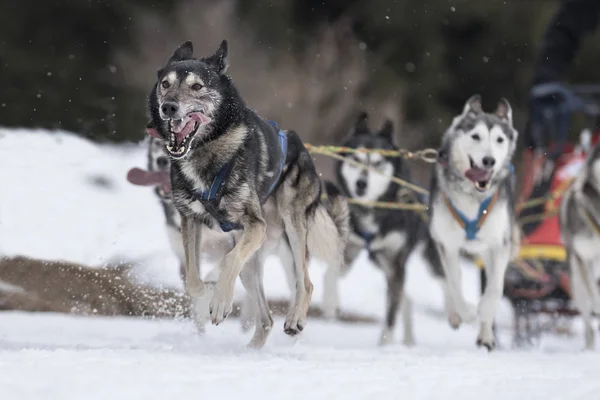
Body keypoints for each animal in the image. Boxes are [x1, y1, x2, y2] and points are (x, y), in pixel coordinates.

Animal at [146, 39, 350, 346]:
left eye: (197, 86)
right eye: (165, 84)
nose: (168, 107)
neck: (207, 150)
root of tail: (299, 145)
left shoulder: (254, 225)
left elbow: (228, 260)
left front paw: (219, 301)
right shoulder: (190, 221)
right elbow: (193, 281)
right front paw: (209, 293)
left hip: (291, 226)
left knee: (305, 282)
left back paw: (295, 320)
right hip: (252, 263)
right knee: (265, 319)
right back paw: (252, 347)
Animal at [336, 113, 442, 346]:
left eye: (378, 163)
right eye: (355, 159)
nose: (361, 184)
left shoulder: (395, 262)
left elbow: (391, 314)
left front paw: (385, 345)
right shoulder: (351, 249)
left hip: (429, 260)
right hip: (379, 261)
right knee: (406, 298)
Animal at [428, 94, 516, 350]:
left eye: (499, 139)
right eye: (475, 136)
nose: (489, 160)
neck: (472, 195)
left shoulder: (500, 243)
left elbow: (495, 288)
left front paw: (484, 313)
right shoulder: (447, 244)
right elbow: (455, 281)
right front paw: (466, 312)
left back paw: (486, 336)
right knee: (447, 279)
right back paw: (455, 314)